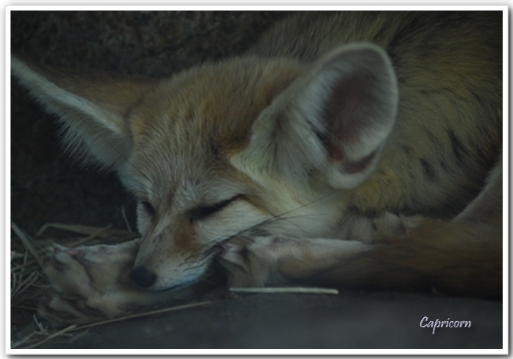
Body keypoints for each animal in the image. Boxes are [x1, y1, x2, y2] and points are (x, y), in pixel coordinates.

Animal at [10, 11, 502, 326]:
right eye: (145, 206)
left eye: (212, 209)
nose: (141, 275)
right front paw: (112, 274)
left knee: (446, 244)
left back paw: (277, 257)